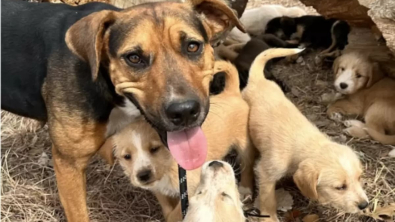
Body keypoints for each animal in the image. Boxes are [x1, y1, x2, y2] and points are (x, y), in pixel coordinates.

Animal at [100, 60, 256, 222]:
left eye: (154, 149)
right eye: (127, 156)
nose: (143, 175)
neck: (169, 165)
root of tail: (230, 92)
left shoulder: (192, 188)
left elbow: (177, 212)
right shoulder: (158, 189)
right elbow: (167, 208)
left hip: (245, 145)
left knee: (247, 165)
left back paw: (245, 189)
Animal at [243, 47, 370, 221]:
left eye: (359, 178)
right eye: (340, 187)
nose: (365, 205)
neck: (306, 142)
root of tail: (258, 79)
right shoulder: (266, 172)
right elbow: (268, 198)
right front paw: (270, 216)